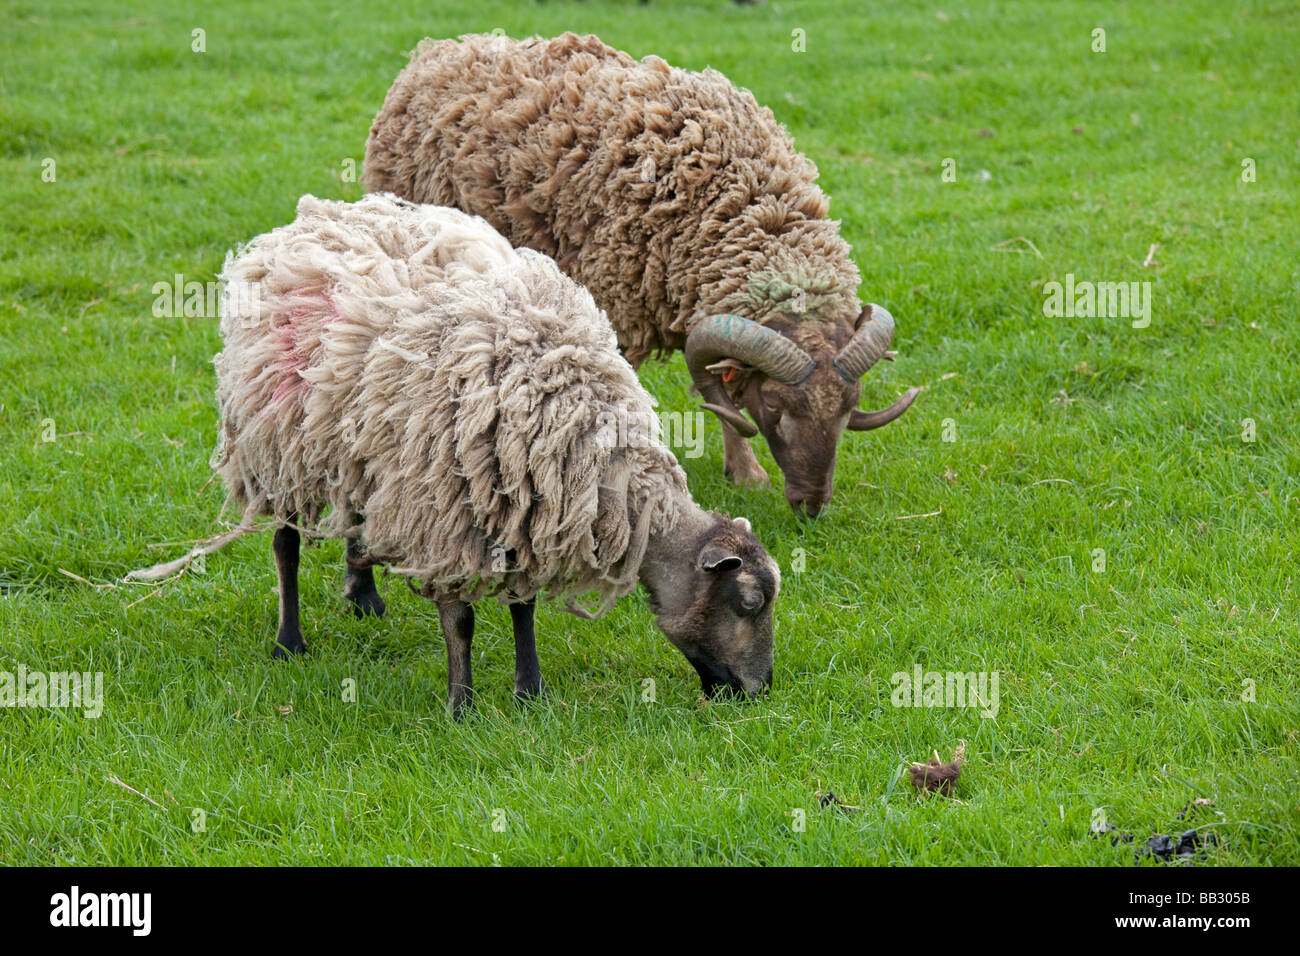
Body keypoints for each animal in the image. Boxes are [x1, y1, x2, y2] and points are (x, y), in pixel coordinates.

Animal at [198, 196, 774, 717]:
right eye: (748, 603)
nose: (758, 691)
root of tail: (310, 218)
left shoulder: (527, 500)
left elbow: (524, 604)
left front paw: (530, 692)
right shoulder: (446, 513)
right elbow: (460, 620)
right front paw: (462, 706)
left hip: (365, 447)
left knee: (357, 512)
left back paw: (363, 596)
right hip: (276, 440)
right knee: (285, 544)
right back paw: (288, 641)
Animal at [361, 33, 920, 520]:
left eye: (850, 407)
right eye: (776, 407)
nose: (811, 506)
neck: (737, 202)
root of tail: (439, 50)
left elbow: (719, 398)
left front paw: (745, 473)